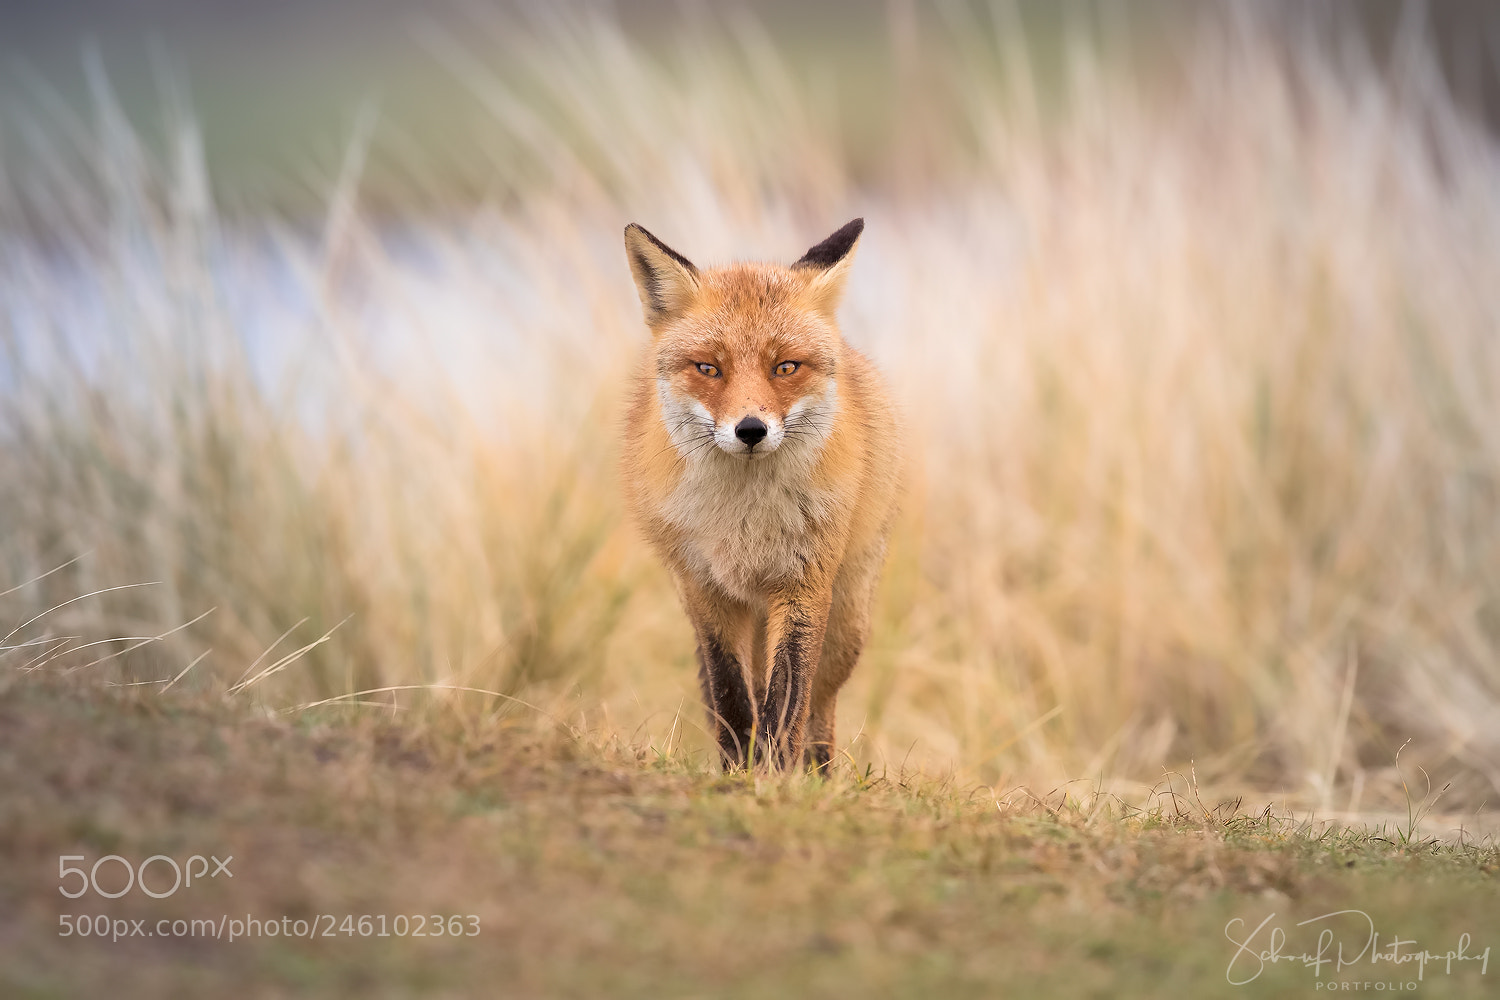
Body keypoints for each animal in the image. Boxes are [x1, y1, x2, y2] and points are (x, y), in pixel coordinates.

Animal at [620, 218, 900, 771]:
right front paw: (738, 770)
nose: (750, 430)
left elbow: (787, 698)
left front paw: (773, 771)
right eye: (709, 368)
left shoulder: (803, 586)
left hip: (846, 626)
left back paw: (817, 773)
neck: (744, 523)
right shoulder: (707, 590)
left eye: (785, 367)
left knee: (820, 705)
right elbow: (731, 693)